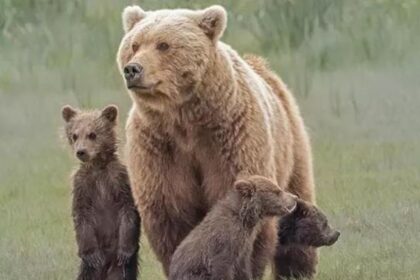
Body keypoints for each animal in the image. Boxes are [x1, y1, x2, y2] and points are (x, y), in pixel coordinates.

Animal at [116, 4, 316, 280]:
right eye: (134, 44)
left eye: (163, 45)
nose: (133, 69)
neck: (186, 120)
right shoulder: (159, 147)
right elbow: (171, 211)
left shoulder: (232, 139)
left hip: (291, 141)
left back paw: (296, 270)